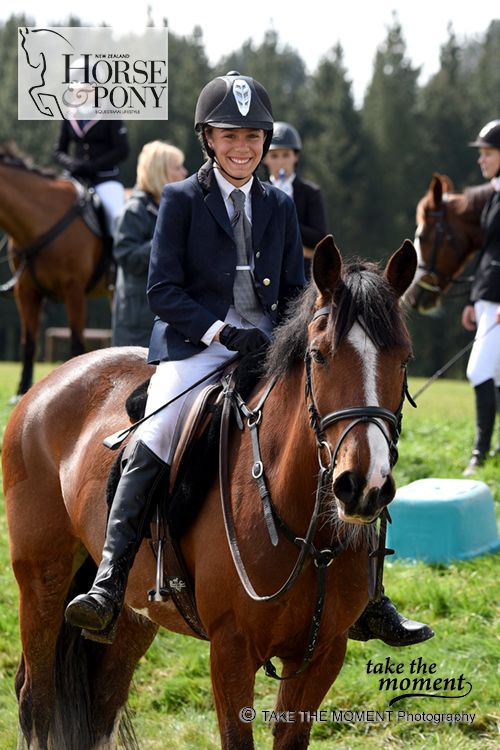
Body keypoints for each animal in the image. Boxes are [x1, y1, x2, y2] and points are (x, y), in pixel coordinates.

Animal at [2, 236, 418, 750]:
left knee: (100, 704)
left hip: (135, 613)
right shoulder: (231, 648)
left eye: (404, 359)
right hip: (43, 579)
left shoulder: (324, 653)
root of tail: (50, 382)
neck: (304, 527)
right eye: (320, 355)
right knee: (36, 698)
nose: (362, 486)